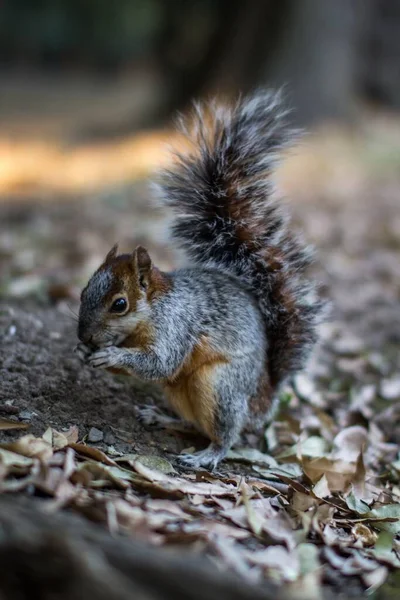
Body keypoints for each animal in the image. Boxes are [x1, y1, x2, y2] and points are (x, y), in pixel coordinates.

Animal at [74, 91, 324, 472]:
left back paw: (208, 454)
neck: (153, 310)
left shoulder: (177, 327)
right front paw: (84, 351)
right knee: (192, 422)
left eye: (120, 304)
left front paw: (112, 354)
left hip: (220, 387)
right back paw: (162, 418)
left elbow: (160, 362)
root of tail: (263, 396)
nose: (84, 335)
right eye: (84, 291)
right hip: (178, 390)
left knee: (225, 432)